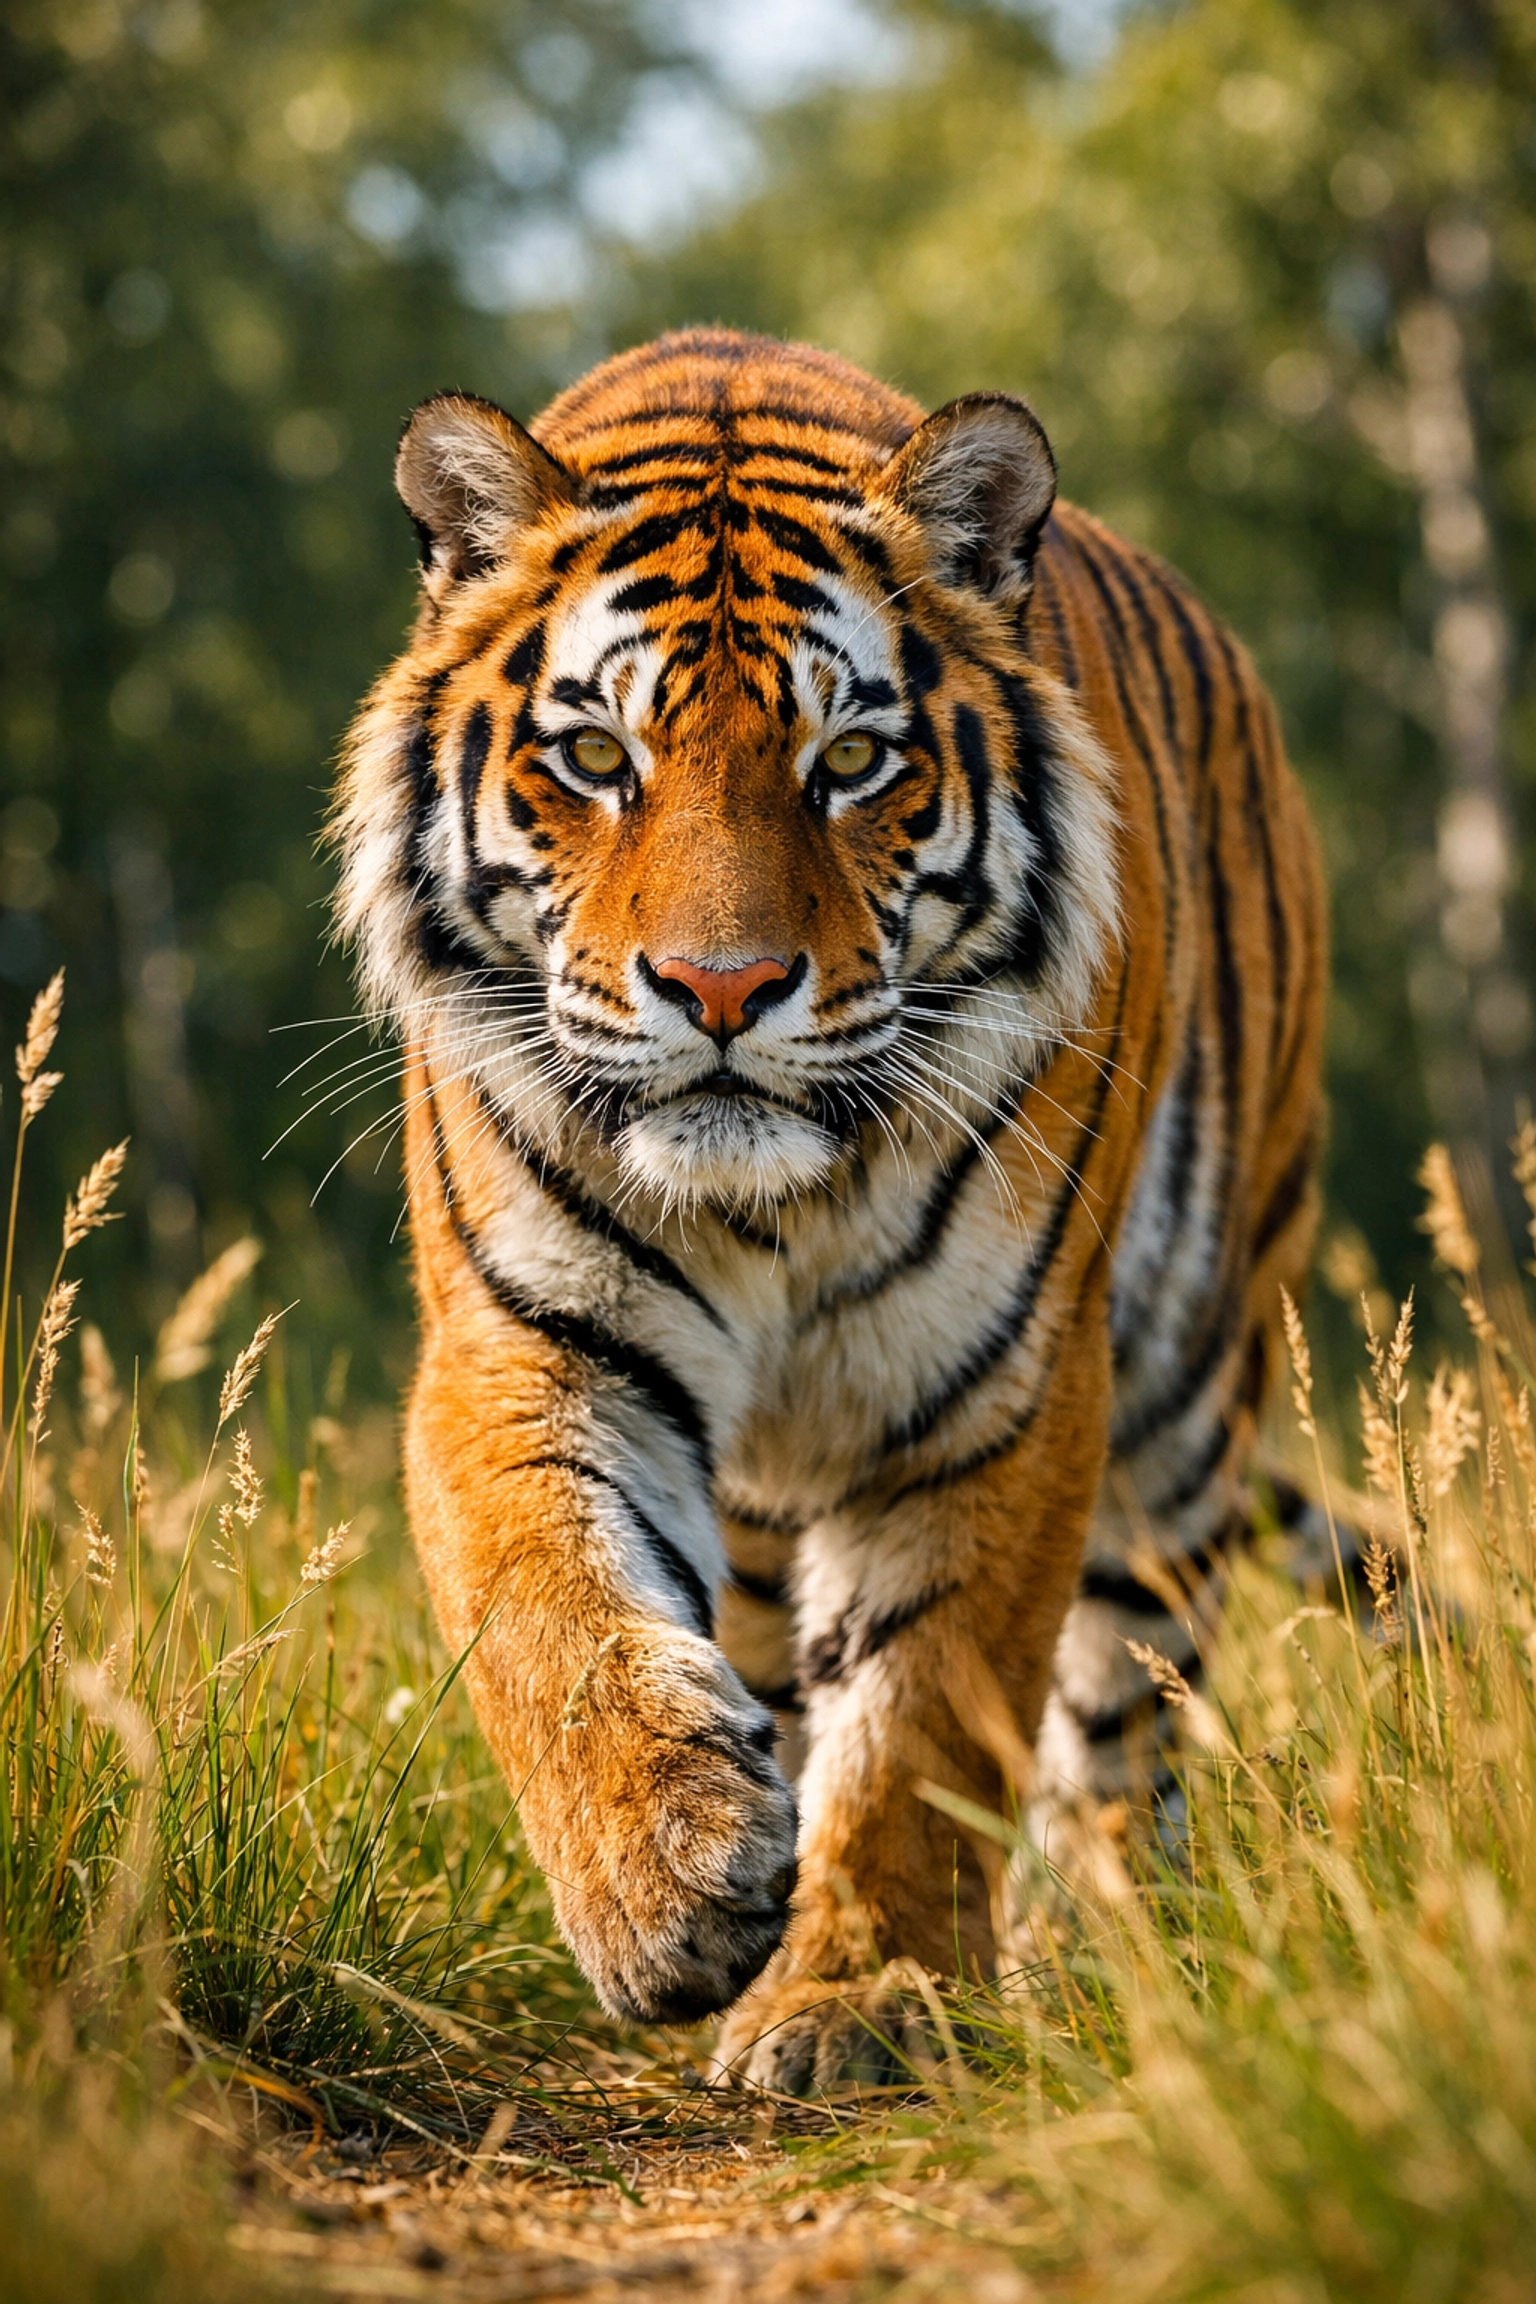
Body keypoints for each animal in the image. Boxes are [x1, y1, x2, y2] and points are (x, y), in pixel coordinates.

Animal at [331, 327, 1326, 2094]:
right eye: (598, 759)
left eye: (851, 759)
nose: (723, 988)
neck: (766, 1211)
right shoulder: (527, 1342)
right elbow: (552, 1613)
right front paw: (665, 1885)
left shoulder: (996, 1387)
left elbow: (929, 1703)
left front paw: (859, 1996)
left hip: (1190, 1399)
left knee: (1124, 1721)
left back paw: (1104, 1950)